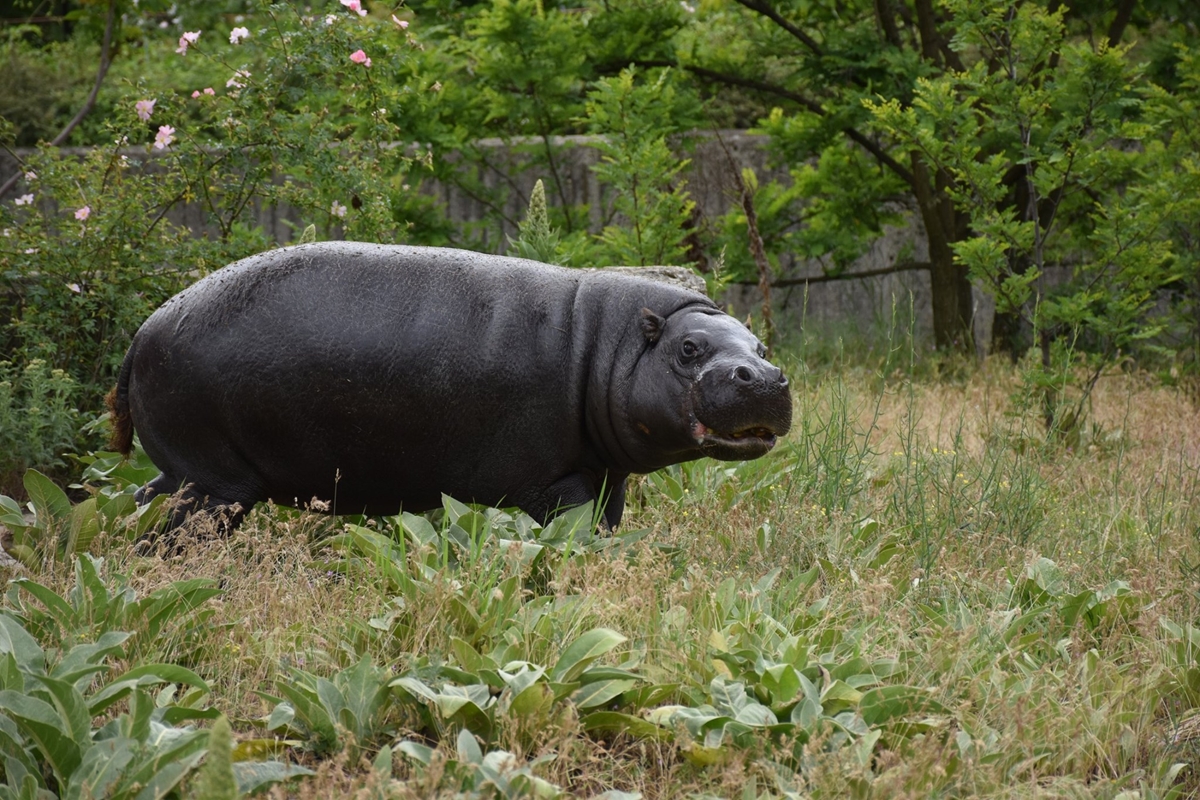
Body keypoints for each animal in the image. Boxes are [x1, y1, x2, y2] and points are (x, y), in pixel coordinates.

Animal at [108, 242, 792, 532]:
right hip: (215, 485)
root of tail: (144, 328)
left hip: (186, 474)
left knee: (138, 506)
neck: (612, 345)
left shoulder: (605, 477)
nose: (762, 376)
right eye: (688, 349)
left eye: (760, 346)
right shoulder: (559, 484)